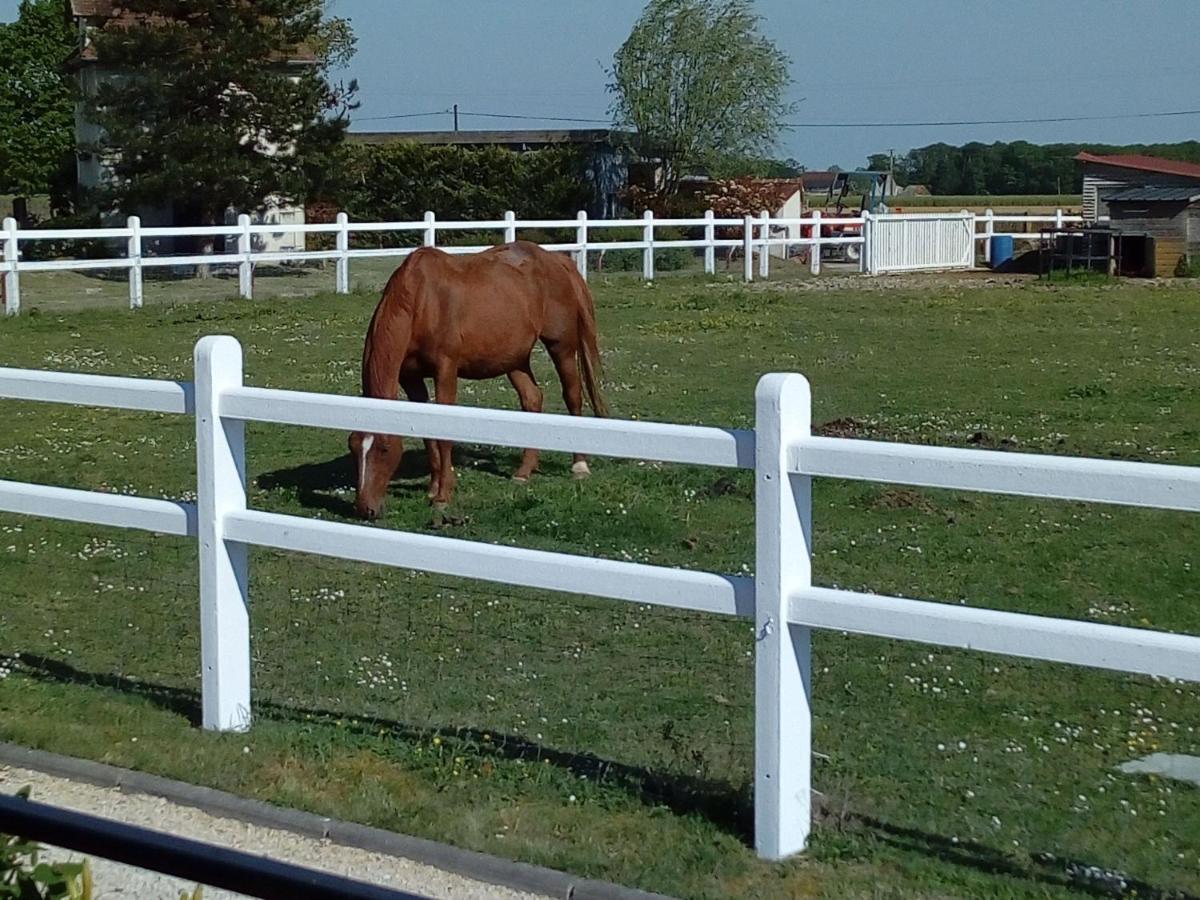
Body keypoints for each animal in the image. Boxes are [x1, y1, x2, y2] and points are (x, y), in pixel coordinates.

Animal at [348, 241, 609, 520]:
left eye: (385, 448)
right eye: (353, 446)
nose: (365, 509)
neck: (422, 301)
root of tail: (557, 259)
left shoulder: (446, 370)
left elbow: (442, 434)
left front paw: (443, 495)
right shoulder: (411, 378)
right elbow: (427, 432)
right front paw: (433, 487)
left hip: (562, 347)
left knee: (573, 395)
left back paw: (579, 466)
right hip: (514, 359)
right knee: (532, 399)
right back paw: (524, 472)